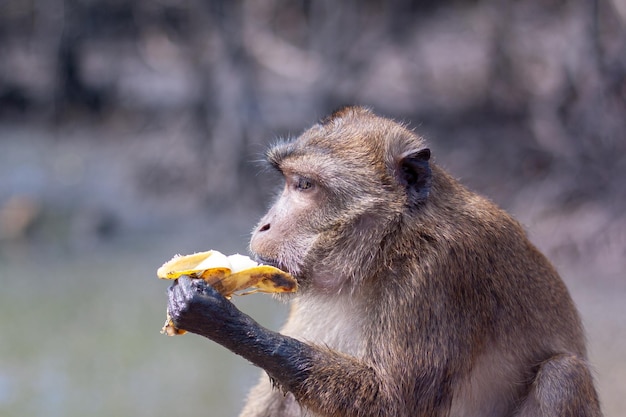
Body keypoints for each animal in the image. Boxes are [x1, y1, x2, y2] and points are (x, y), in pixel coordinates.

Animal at [166, 105, 600, 414]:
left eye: (304, 185)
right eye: (287, 182)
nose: (265, 224)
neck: (387, 247)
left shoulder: (442, 269)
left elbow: (393, 401)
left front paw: (218, 317)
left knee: (563, 375)